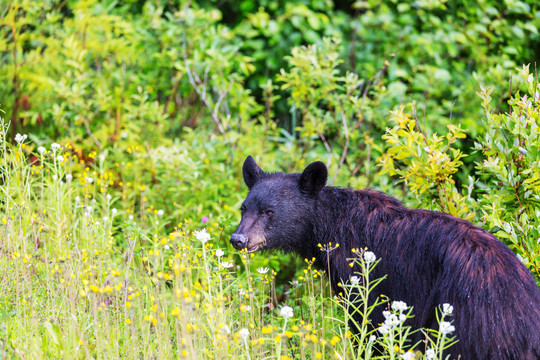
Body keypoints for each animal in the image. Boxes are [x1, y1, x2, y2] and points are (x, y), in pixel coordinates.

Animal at [231, 157, 540, 360]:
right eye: (244, 208)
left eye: (269, 212)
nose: (238, 239)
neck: (333, 228)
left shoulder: (367, 281)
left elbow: (368, 325)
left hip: (470, 319)